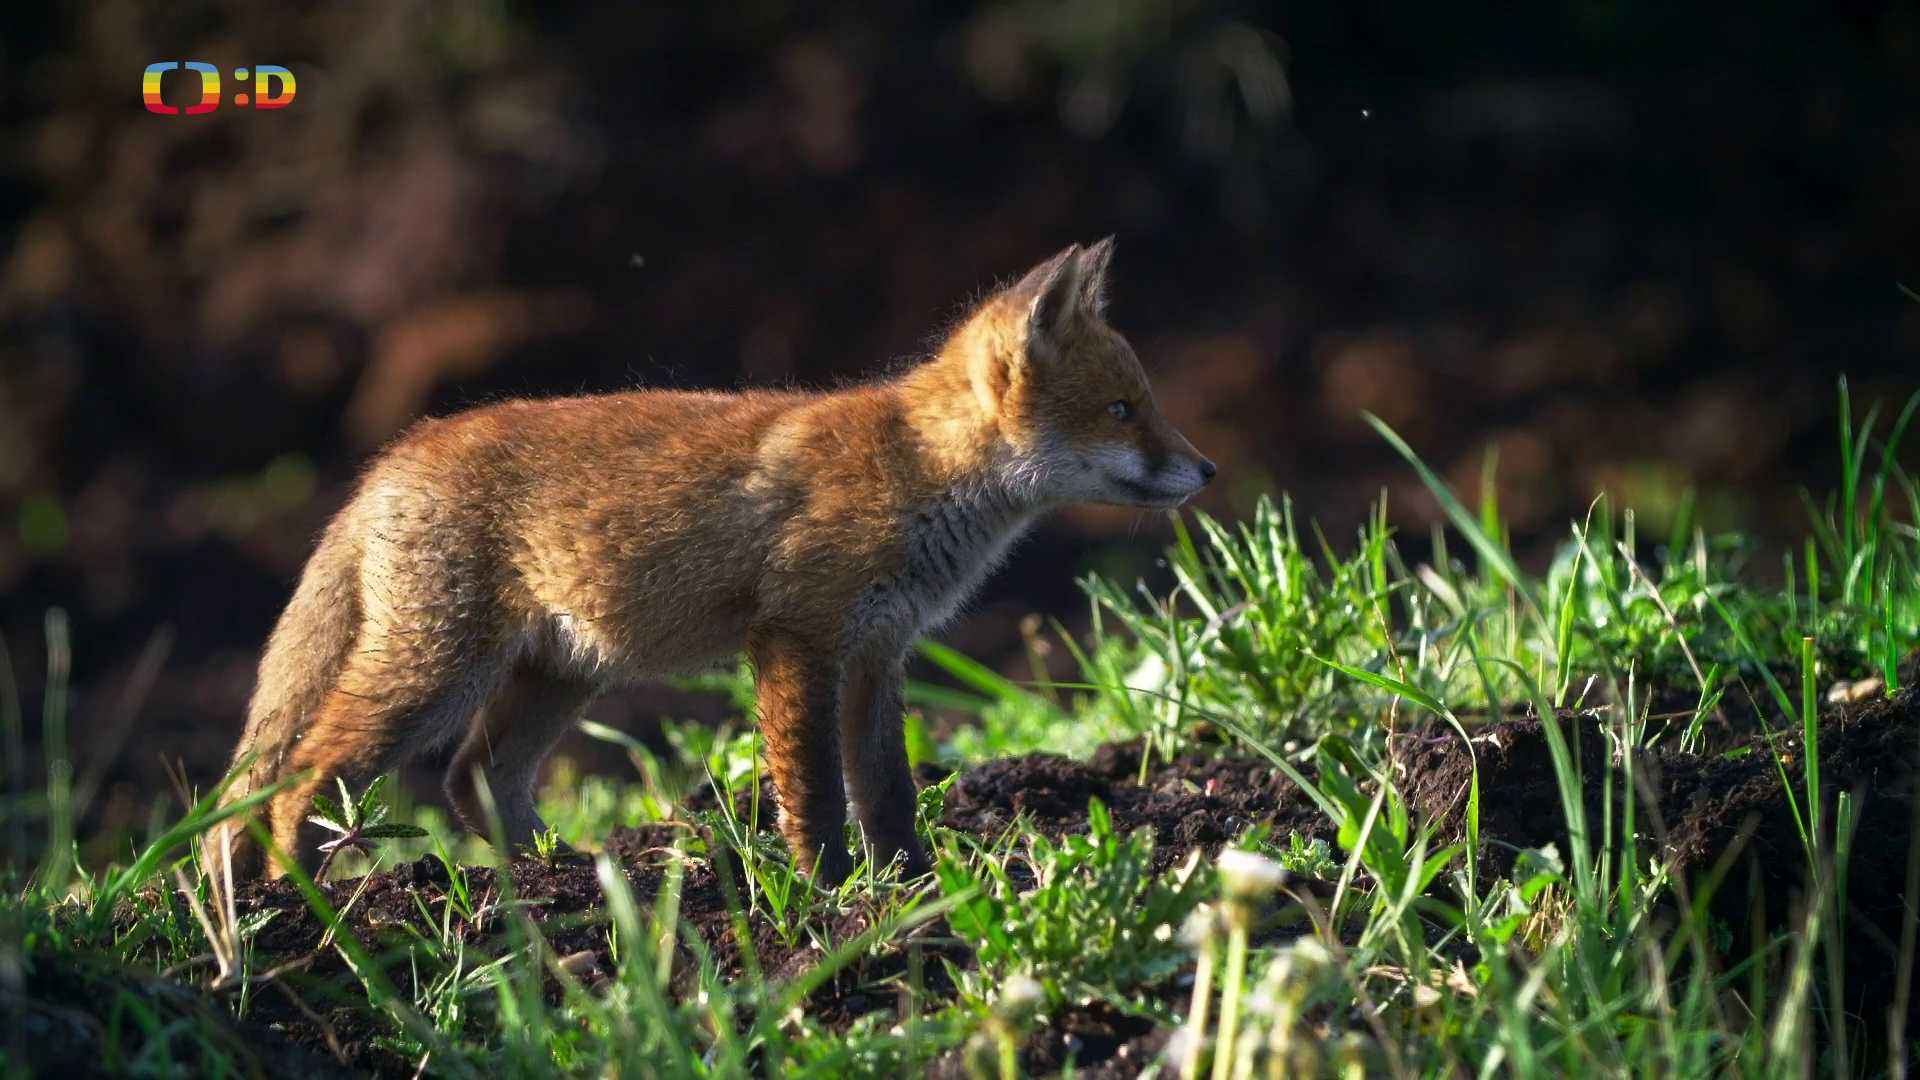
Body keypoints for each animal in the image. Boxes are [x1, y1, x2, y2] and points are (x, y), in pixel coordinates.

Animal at [217, 242, 1213, 883]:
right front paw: (828, 892)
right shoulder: (797, 639)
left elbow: (887, 789)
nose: (1206, 471)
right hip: (435, 674)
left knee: (475, 777)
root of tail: (391, 457)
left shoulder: (876, 652)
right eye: (1123, 410)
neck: (915, 473)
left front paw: (914, 884)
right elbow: (814, 789)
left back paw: (558, 874)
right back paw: (301, 897)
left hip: (563, 673)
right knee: (304, 772)